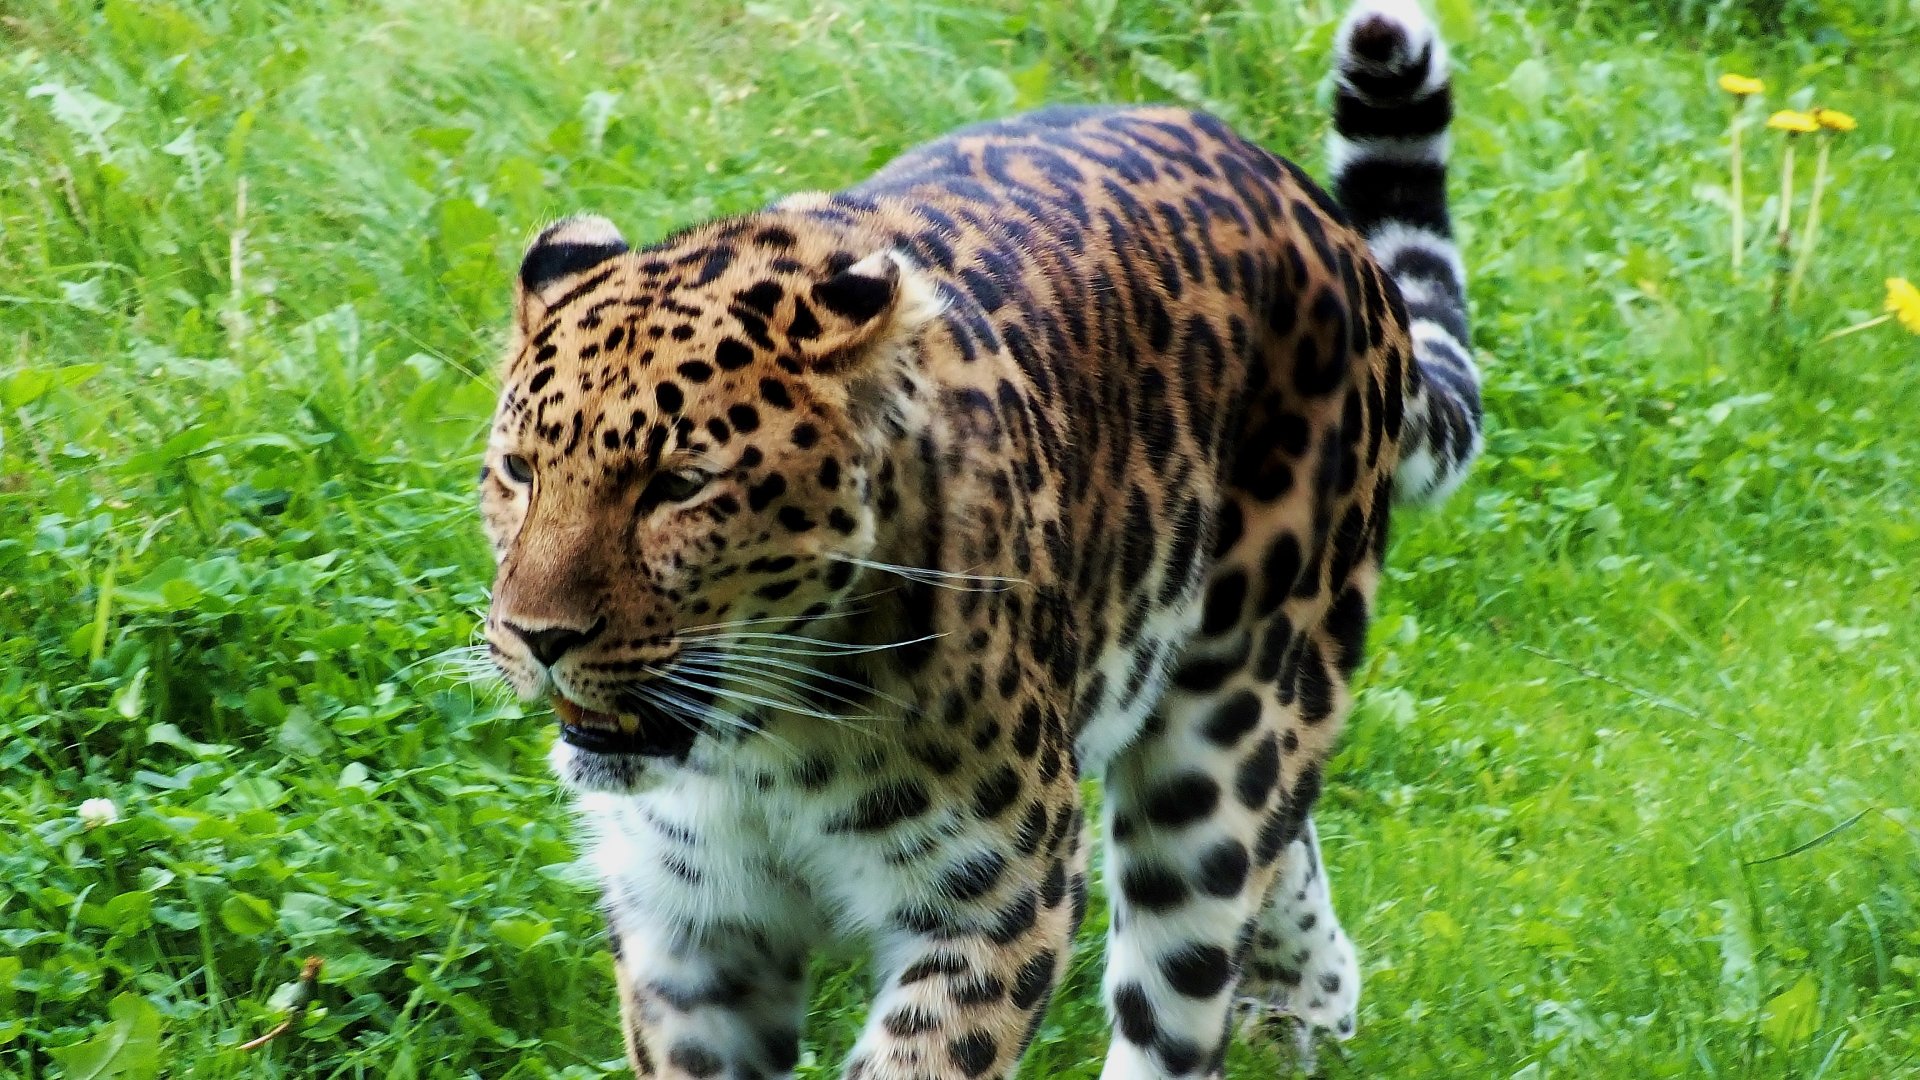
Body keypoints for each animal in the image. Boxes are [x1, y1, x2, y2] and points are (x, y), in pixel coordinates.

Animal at [476, 1, 1483, 1077]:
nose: (539, 639)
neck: (755, 748)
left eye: (679, 486)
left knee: (1188, 964)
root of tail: (1318, 216)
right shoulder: (690, 928)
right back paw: (1309, 995)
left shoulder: (998, 898)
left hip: (1226, 730)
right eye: (520, 471)